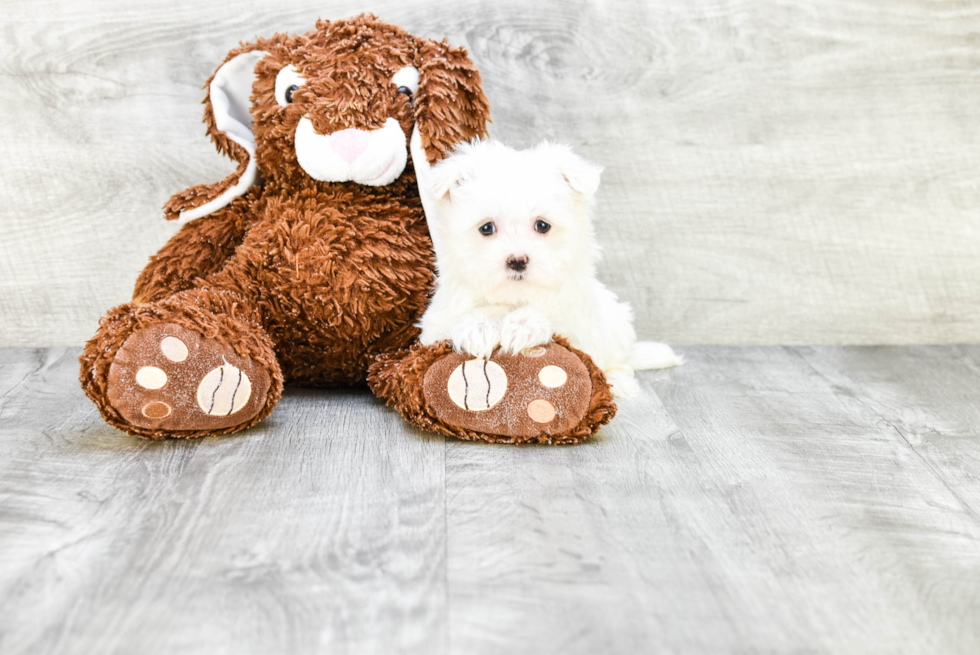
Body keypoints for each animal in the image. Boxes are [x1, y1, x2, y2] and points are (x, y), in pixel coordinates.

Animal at [416, 138, 680, 398]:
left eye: (542, 225)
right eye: (486, 228)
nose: (517, 260)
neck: (515, 297)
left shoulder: (578, 325)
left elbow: (557, 319)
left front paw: (524, 325)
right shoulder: (433, 329)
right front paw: (479, 327)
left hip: (616, 325)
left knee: (620, 360)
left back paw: (618, 382)